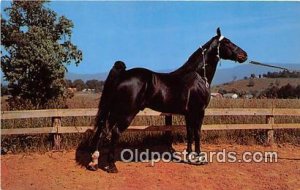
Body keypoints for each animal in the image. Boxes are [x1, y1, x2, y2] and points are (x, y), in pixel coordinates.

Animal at [88, 27, 247, 172]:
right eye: (227, 42)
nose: (244, 55)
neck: (198, 76)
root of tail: (123, 74)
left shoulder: (188, 114)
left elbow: (189, 133)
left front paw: (189, 156)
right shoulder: (199, 112)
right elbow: (197, 133)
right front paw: (200, 159)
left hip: (114, 111)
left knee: (103, 130)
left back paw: (94, 163)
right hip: (126, 113)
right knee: (115, 132)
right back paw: (111, 166)